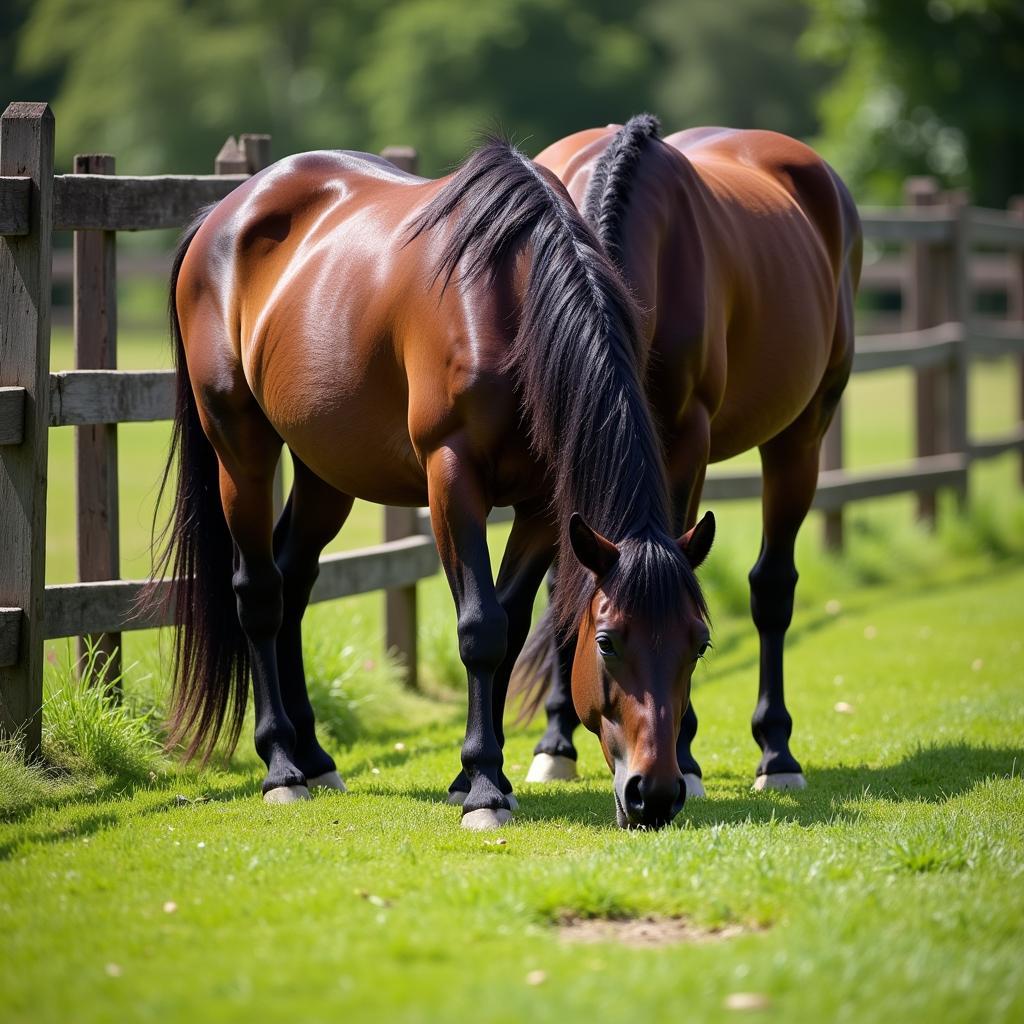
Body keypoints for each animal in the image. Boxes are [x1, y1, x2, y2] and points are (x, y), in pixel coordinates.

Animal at [153, 138, 712, 831]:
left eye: (699, 643)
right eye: (606, 642)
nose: (654, 795)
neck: (511, 297)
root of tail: (224, 213)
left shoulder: (540, 505)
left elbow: (512, 625)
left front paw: (480, 775)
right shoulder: (452, 477)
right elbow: (480, 628)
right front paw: (484, 789)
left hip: (326, 470)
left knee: (294, 581)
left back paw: (315, 756)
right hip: (240, 448)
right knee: (259, 592)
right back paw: (282, 766)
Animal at [516, 116, 860, 794]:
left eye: (699, 643)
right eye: (606, 642)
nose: (655, 784)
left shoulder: (685, 445)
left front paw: (690, 754)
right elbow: (564, 587)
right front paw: (555, 742)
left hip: (802, 435)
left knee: (772, 588)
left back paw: (777, 753)